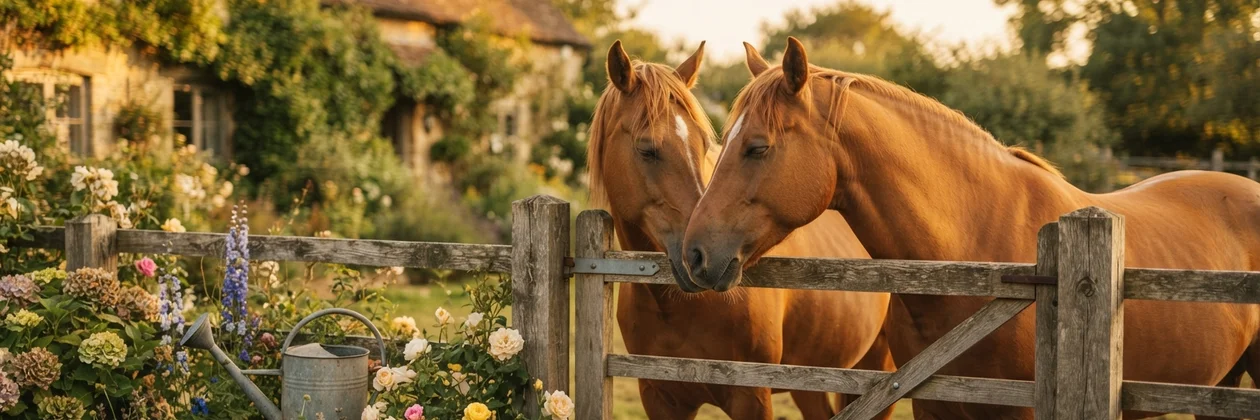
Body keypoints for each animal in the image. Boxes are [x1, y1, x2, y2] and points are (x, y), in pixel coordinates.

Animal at [589, 40, 895, 420]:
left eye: (703, 145)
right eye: (647, 149)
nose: (696, 254)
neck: (677, 307)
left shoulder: (751, 396)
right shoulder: (659, 397)